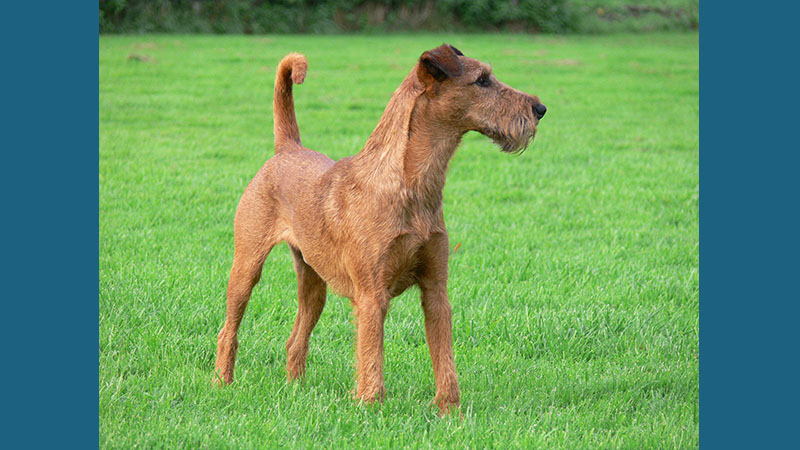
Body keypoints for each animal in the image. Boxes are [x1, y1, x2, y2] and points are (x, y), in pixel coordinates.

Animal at [216, 44, 548, 414]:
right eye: (482, 80)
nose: (540, 109)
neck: (411, 186)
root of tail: (287, 148)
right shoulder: (372, 294)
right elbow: (372, 356)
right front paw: (370, 405)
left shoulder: (436, 290)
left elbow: (444, 358)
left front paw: (449, 410)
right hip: (247, 266)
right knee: (228, 330)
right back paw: (223, 382)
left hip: (314, 284)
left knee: (295, 338)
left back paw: (295, 390)